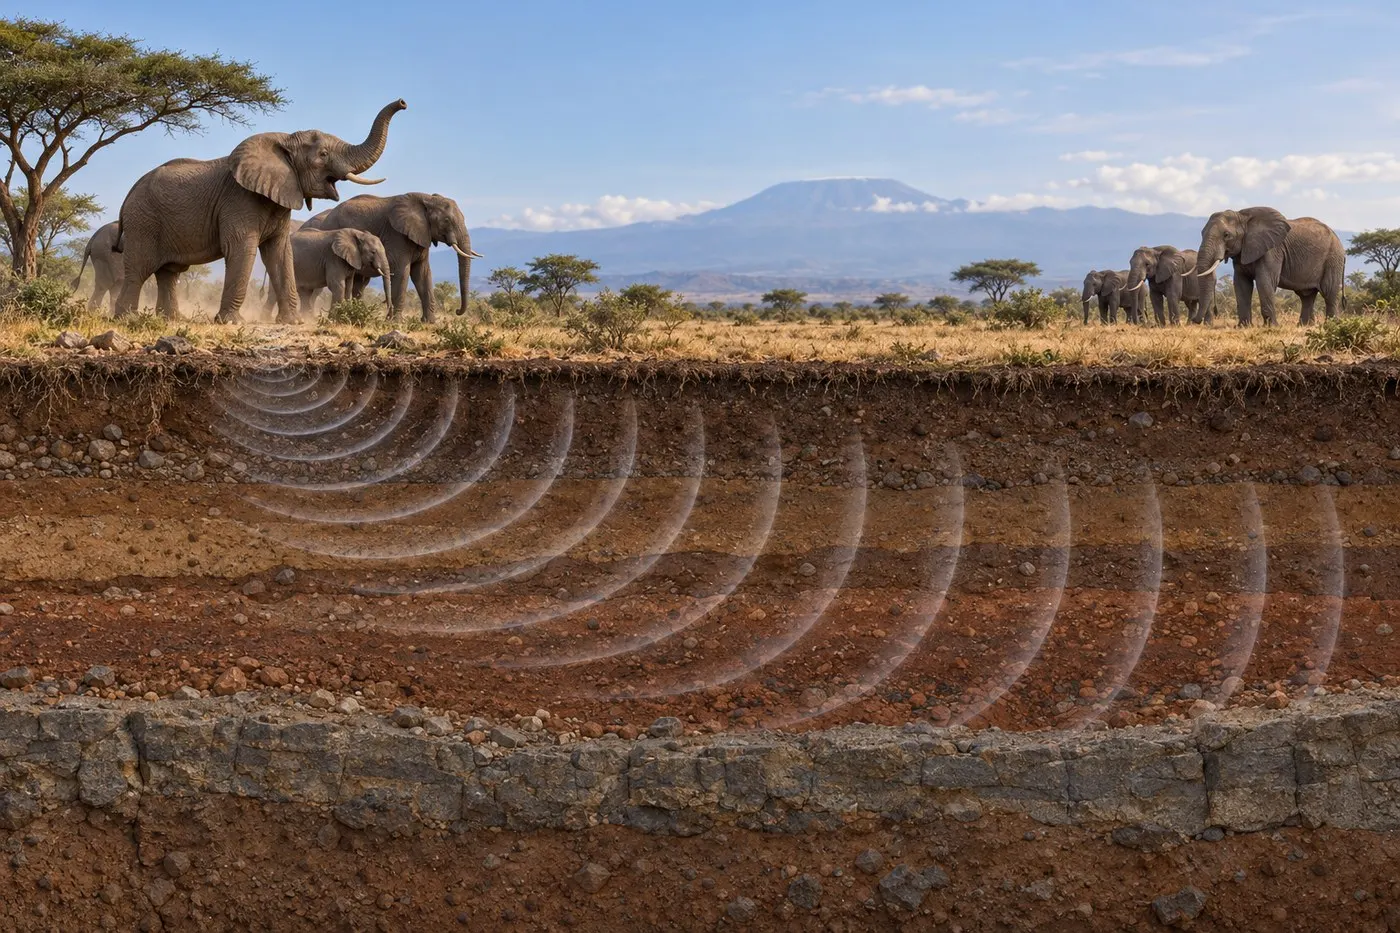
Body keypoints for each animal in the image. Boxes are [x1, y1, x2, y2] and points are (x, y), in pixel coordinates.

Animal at [113, 99, 406, 323]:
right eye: (322, 154)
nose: (403, 103)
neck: (283, 142)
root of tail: (129, 194)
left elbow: (280, 253)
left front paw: (293, 323)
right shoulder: (239, 200)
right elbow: (241, 249)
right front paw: (231, 323)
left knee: (168, 273)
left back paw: (172, 320)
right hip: (144, 221)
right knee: (139, 268)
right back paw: (127, 319)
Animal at [300, 192, 481, 322]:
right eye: (447, 220)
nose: (457, 311)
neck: (427, 199)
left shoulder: (422, 235)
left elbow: (422, 274)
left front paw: (430, 323)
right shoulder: (397, 236)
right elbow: (403, 272)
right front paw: (396, 322)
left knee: (358, 284)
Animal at [1192, 206, 1345, 326]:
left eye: (1226, 235)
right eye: (1201, 233)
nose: (1195, 321)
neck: (1243, 217)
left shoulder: (1272, 250)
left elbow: (1264, 280)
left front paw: (1271, 326)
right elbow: (1241, 284)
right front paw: (1243, 327)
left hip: (1333, 258)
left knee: (1329, 291)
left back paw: (1331, 325)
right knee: (1306, 296)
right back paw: (1304, 326)